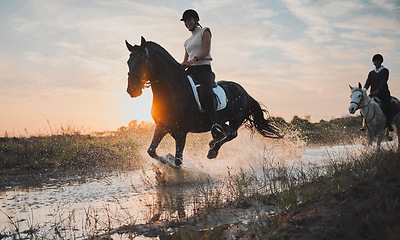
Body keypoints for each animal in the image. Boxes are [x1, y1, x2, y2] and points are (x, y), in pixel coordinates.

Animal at [125, 37, 282, 167]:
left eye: (142, 61)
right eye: (128, 62)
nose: (132, 90)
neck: (173, 90)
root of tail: (246, 93)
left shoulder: (181, 133)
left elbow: (178, 162)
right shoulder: (161, 126)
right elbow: (151, 151)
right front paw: (165, 160)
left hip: (236, 119)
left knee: (232, 134)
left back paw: (213, 150)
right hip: (223, 120)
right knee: (225, 131)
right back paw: (214, 141)